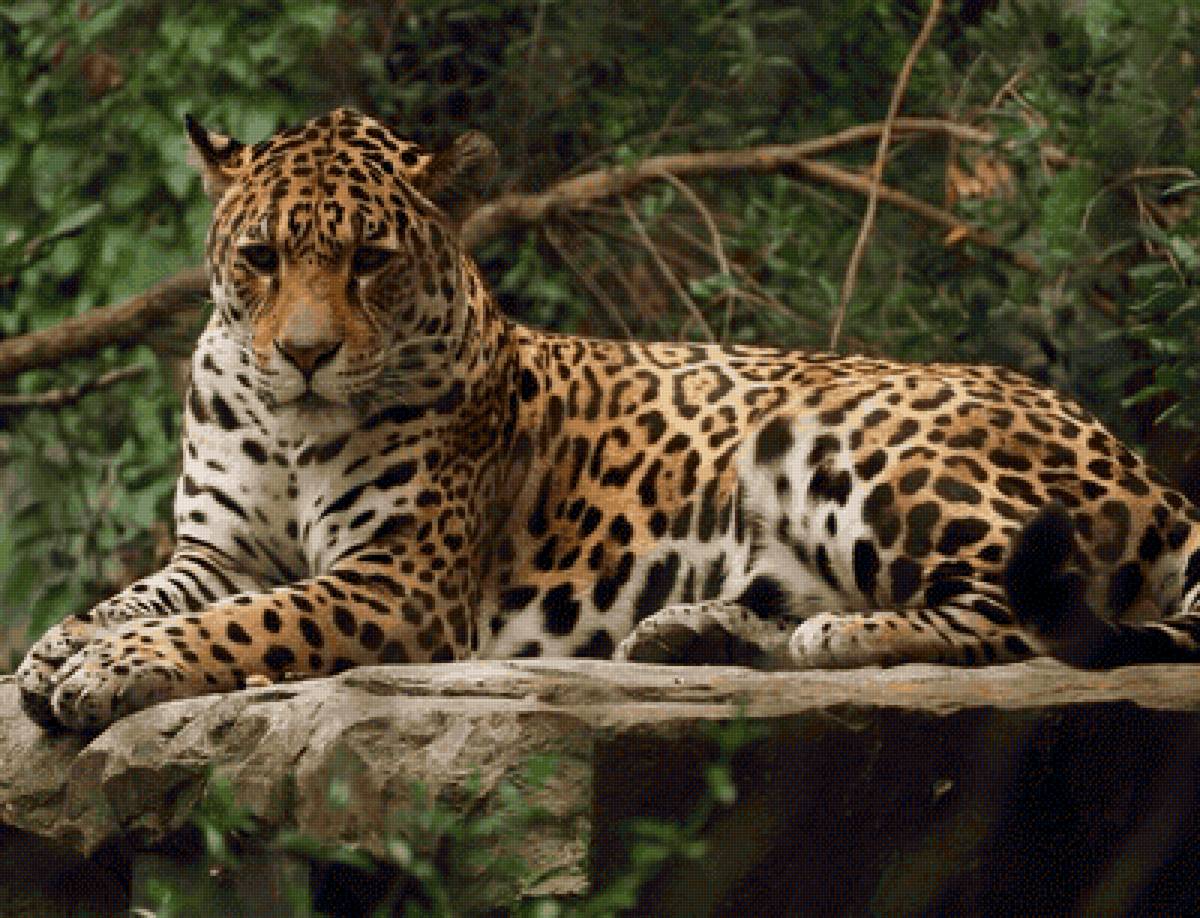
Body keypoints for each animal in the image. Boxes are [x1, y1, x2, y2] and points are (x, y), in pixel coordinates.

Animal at [17, 107, 1200, 732]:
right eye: (261, 258)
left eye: (371, 260)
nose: (305, 355)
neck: (289, 427)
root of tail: (1149, 473)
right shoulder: (216, 548)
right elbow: (148, 594)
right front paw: (59, 645)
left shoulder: (396, 581)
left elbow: (245, 623)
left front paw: (111, 669)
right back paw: (695, 631)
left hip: (846, 440)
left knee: (1026, 616)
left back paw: (835, 636)